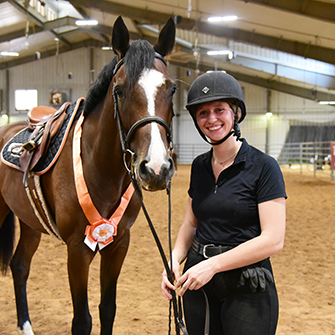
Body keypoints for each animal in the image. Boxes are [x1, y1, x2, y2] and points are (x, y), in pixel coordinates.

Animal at [0, 16, 177, 335]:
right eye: (119, 90)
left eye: (171, 90)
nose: (156, 169)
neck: (100, 169)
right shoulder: (77, 251)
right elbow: (82, 320)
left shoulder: (119, 244)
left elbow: (108, 309)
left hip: (30, 221)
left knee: (20, 266)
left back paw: (26, 325)